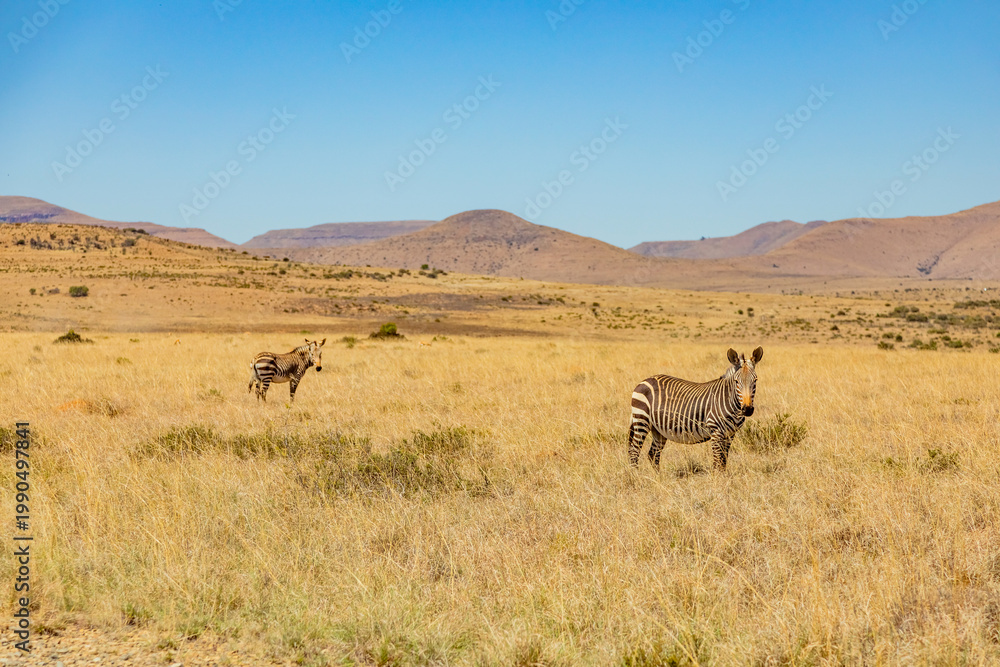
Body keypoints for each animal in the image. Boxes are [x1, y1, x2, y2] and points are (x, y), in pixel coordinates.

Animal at [628, 347, 763, 471]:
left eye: (755, 380)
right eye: (736, 381)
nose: (747, 409)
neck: (731, 403)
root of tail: (645, 380)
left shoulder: (730, 434)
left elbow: (723, 461)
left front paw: (724, 478)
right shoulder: (716, 431)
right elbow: (717, 462)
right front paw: (717, 479)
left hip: (658, 429)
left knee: (653, 454)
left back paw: (658, 478)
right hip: (642, 420)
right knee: (634, 452)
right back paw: (636, 476)